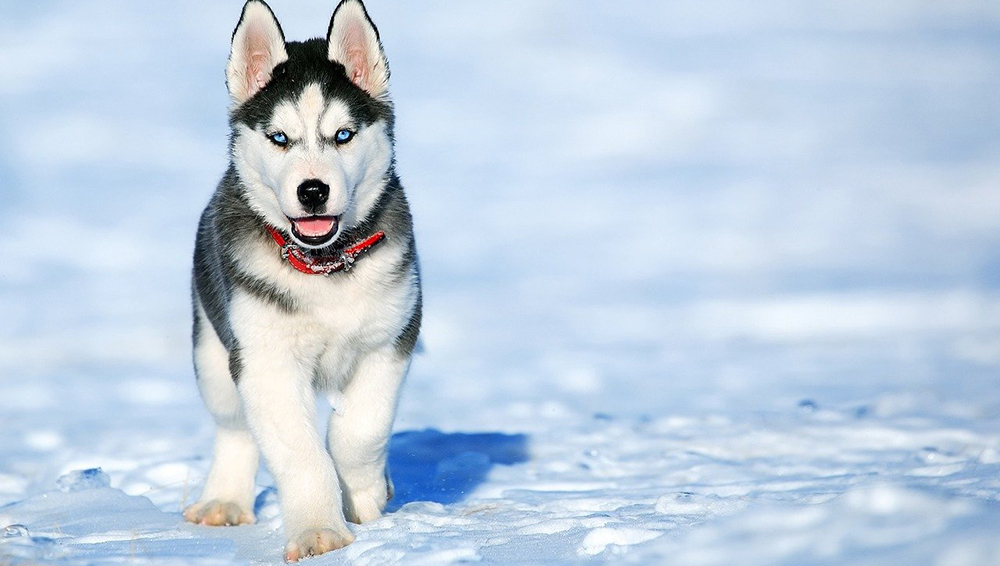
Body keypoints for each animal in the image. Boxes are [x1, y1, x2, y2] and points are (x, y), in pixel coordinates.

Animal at [185, 0, 422, 560]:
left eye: (343, 135)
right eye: (279, 138)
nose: (312, 190)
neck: (324, 266)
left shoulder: (391, 339)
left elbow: (360, 431)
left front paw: (364, 494)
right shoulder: (265, 360)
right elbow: (299, 451)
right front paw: (320, 530)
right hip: (212, 350)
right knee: (235, 427)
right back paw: (224, 501)